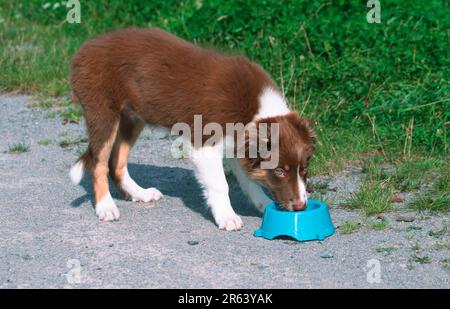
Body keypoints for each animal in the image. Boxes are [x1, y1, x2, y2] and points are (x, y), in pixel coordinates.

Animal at [69, 27, 316, 230]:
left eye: (304, 169)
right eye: (280, 171)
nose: (301, 207)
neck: (255, 110)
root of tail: (85, 47)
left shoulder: (238, 143)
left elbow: (249, 179)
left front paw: (263, 204)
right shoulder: (206, 143)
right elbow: (220, 184)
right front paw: (228, 217)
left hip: (133, 116)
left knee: (117, 163)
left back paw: (140, 193)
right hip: (102, 110)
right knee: (100, 164)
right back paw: (106, 207)